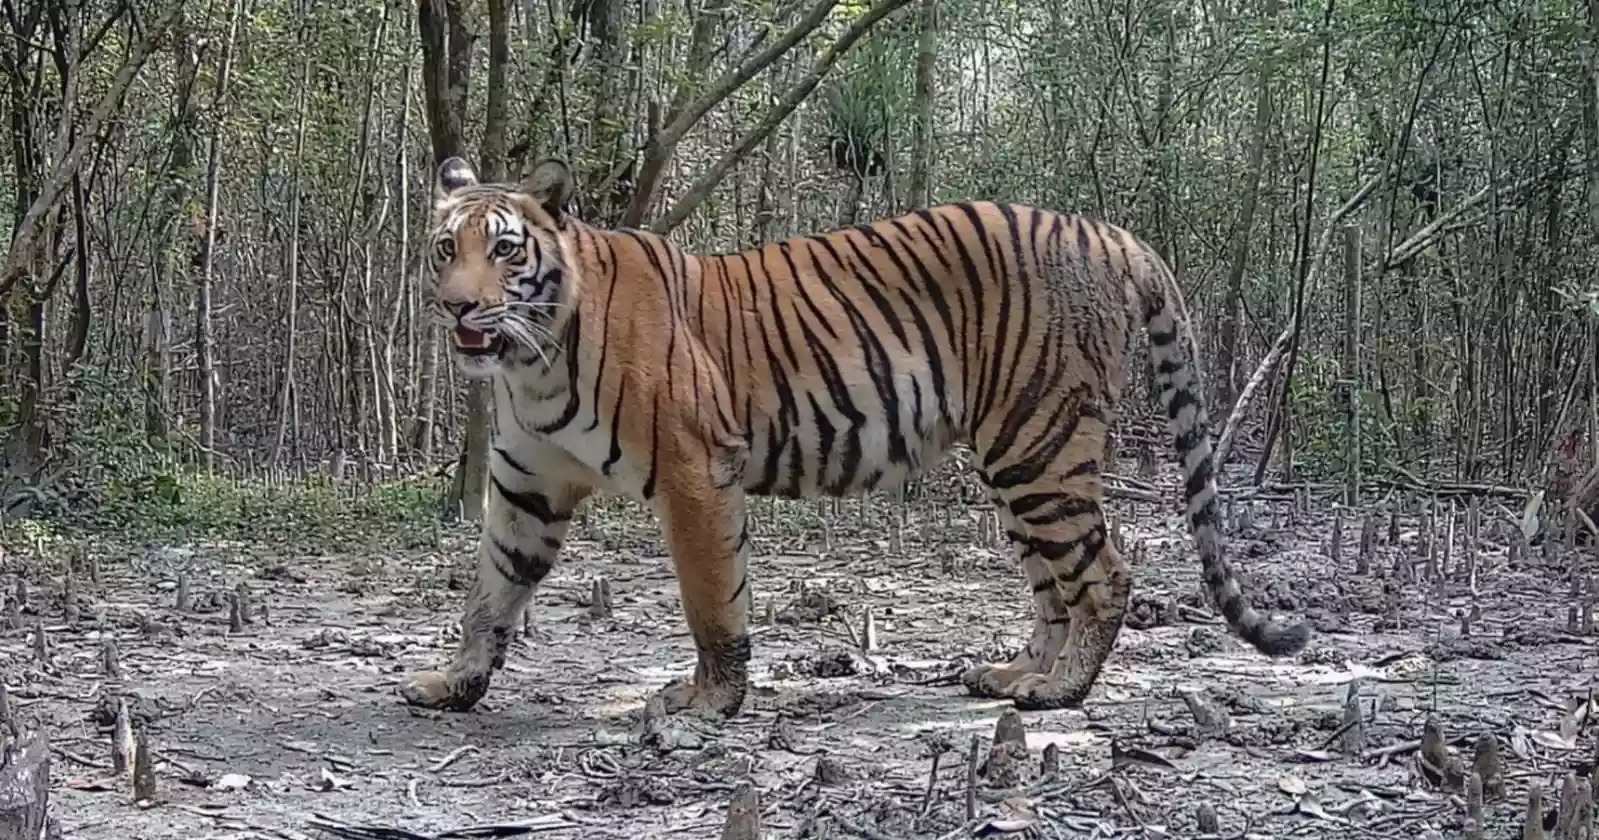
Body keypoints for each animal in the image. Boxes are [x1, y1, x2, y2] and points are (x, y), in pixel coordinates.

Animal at [399, 155, 1310, 718]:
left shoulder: (696, 472)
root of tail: (1109, 232)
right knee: (1055, 583)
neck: (531, 361)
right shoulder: (526, 486)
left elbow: (709, 602)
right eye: (445, 247)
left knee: (1104, 573)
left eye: (504, 250)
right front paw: (454, 683)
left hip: (1040, 446)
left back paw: (1061, 694)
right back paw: (1017, 674)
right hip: (1016, 463)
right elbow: (489, 594)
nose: (456, 305)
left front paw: (707, 704)